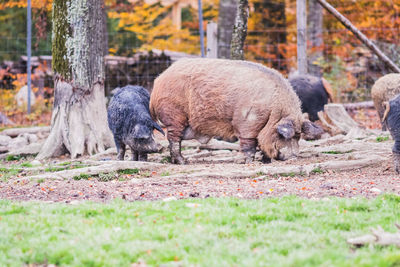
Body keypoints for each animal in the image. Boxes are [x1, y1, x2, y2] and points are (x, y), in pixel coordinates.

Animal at [150, 57, 322, 164]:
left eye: (298, 136)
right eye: (284, 136)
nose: (293, 157)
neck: (274, 110)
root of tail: (158, 80)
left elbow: (259, 143)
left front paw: (265, 160)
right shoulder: (248, 122)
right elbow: (249, 143)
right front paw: (245, 161)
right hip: (173, 114)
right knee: (174, 139)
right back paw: (183, 162)